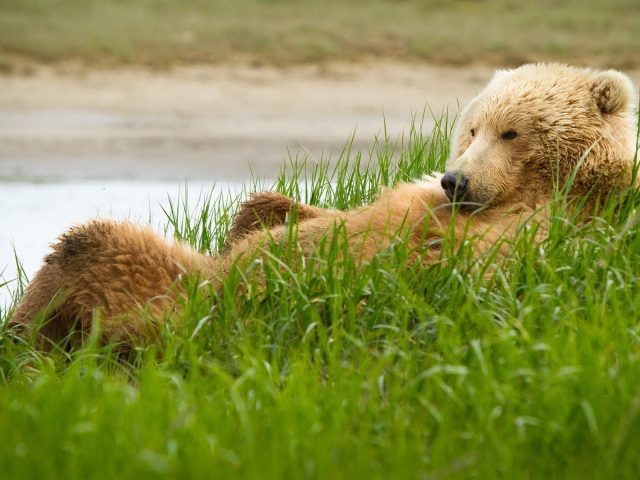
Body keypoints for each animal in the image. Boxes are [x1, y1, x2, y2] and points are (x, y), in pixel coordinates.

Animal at [10, 62, 640, 348]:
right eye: (472, 127)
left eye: (512, 132)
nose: (455, 181)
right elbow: (303, 214)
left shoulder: (537, 235)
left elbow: (418, 261)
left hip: (173, 305)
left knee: (91, 245)